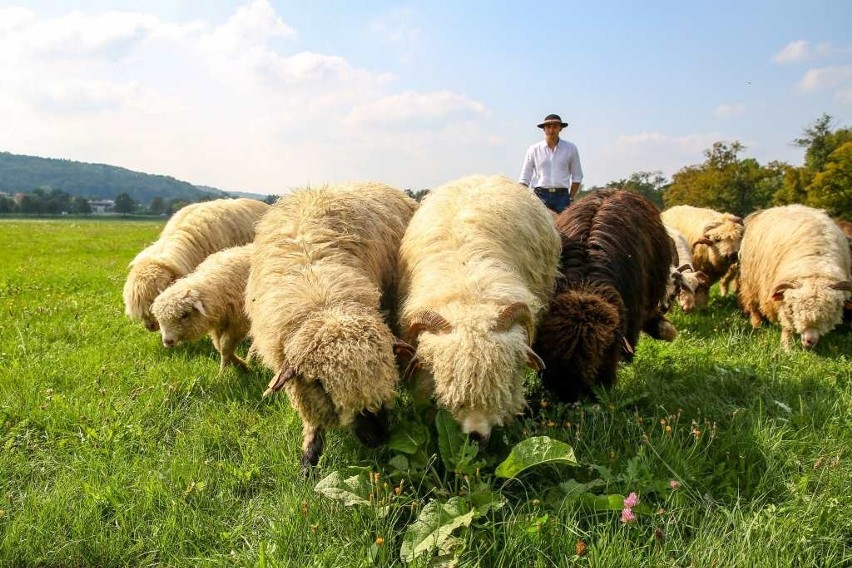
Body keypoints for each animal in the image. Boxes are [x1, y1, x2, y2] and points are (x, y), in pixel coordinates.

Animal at [740, 204, 852, 350]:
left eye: (828, 314)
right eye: (796, 310)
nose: (809, 341)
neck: (814, 265)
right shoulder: (784, 300)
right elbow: (787, 326)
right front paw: (786, 347)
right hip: (751, 279)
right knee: (752, 303)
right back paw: (757, 323)